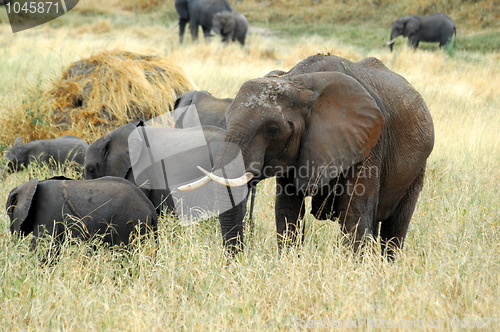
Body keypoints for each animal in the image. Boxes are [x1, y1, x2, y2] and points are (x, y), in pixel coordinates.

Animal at [182, 54, 436, 258]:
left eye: (272, 129)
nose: (237, 262)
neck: (299, 82)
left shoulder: (368, 141)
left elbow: (355, 212)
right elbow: (287, 210)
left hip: (417, 169)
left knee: (395, 229)